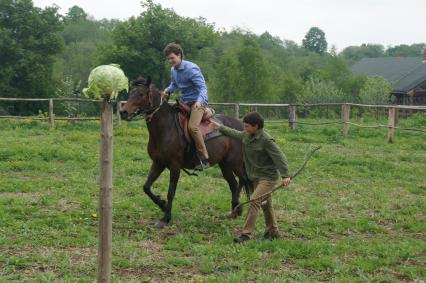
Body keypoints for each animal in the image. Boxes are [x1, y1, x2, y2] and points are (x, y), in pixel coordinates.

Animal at [119, 77, 253, 229]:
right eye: (131, 93)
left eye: (141, 94)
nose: (123, 112)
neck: (166, 129)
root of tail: (242, 127)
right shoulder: (158, 163)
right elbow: (146, 187)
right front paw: (162, 205)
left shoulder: (175, 166)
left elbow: (171, 192)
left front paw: (165, 218)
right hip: (224, 164)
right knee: (233, 183)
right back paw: (235, 211)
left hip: (235, 162)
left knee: (242, 180)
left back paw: (236, 208)